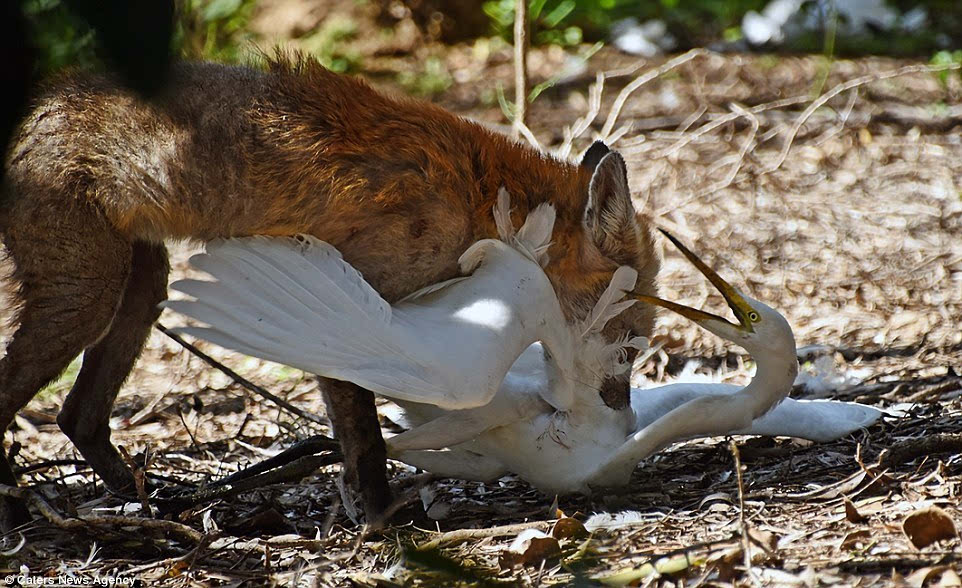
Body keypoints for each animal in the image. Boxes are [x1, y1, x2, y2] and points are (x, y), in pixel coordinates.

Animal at [0, 55, 656, 524]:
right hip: (88, 297)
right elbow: (365, 437)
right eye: (628, 342)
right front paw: (380, 517)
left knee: (77, 416)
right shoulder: (357, 304)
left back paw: (152, 500)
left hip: (141, 286)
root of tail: (43, 102)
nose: (622, 414)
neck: (482, 205)